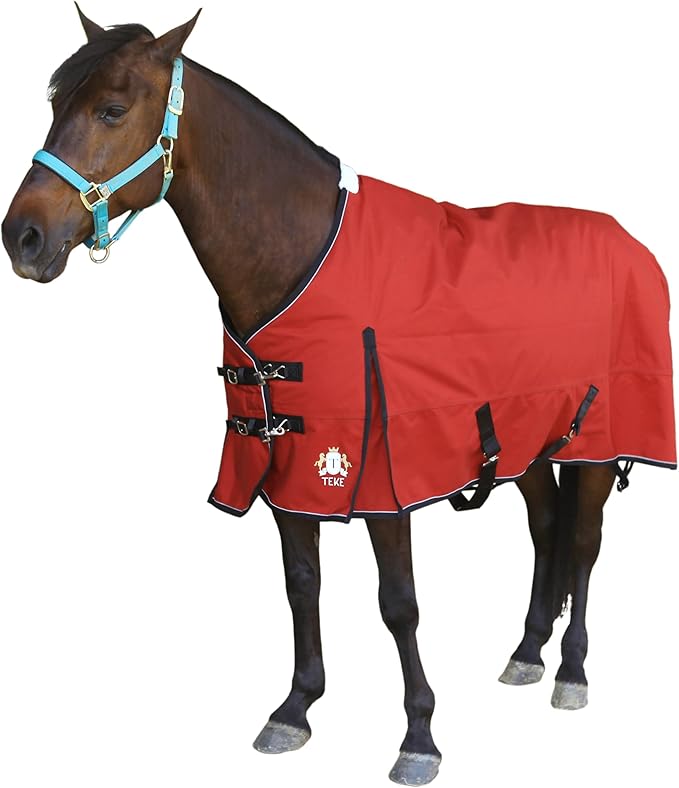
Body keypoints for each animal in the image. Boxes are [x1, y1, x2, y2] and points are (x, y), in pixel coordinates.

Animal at [2, 9, 675, 786]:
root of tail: (632, 244)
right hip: (528, 441)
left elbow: (399, 605)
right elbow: (302, 585)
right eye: (55, 106)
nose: (21, 237)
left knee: (585, 544)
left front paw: (419, 736)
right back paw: (527, 652)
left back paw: (570, 671)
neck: (297, 259)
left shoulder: (380, 476)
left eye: (111, 110)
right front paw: (295, 709)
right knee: (545, 530)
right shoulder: (287, 466)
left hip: (596, 441)